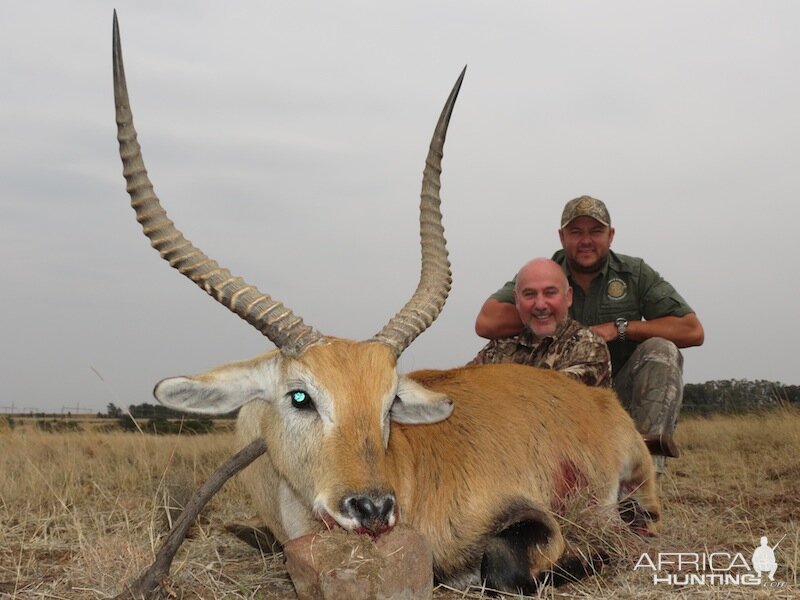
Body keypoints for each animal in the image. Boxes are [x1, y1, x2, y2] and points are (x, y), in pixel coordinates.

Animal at [112, 14, 664, 596]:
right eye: (300, 396)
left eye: (389, 402)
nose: (373, 508)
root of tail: (599, 401)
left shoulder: (526, 521)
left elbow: (505, 565)